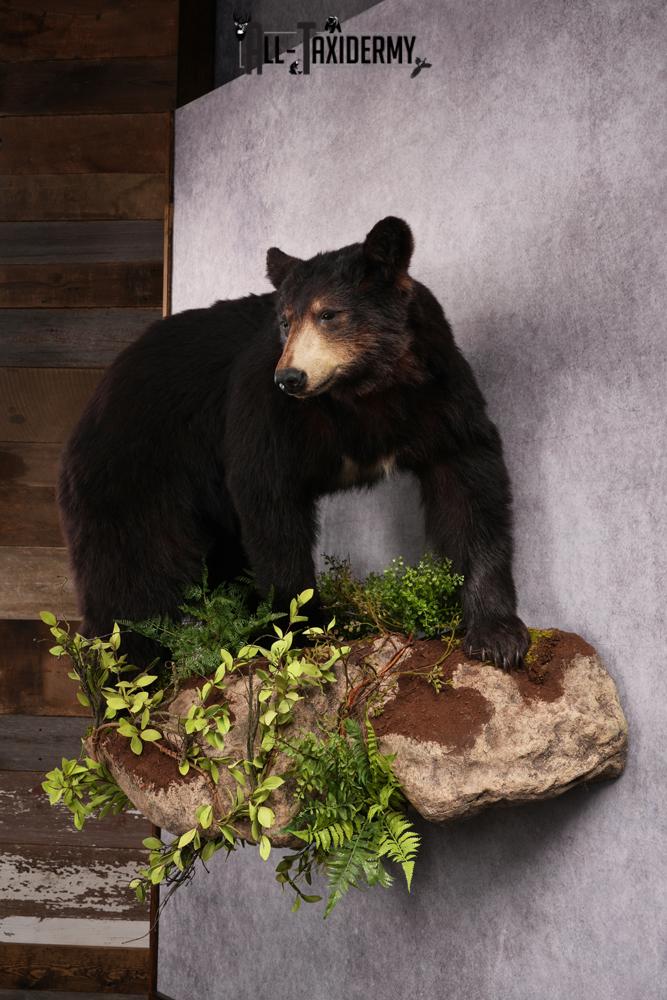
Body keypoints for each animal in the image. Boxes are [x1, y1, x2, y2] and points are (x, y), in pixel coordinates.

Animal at [57, 216, 530, 669]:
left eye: (329, 314)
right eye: (285, 321)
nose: (290, 377)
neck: (364, 393)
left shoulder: (437, 392)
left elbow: (469, 484)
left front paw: (498, 635)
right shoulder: (267, 410)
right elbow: (269, 497)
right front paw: (299, 629)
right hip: (137, 471)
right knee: (133, 571)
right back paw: (131, 666)